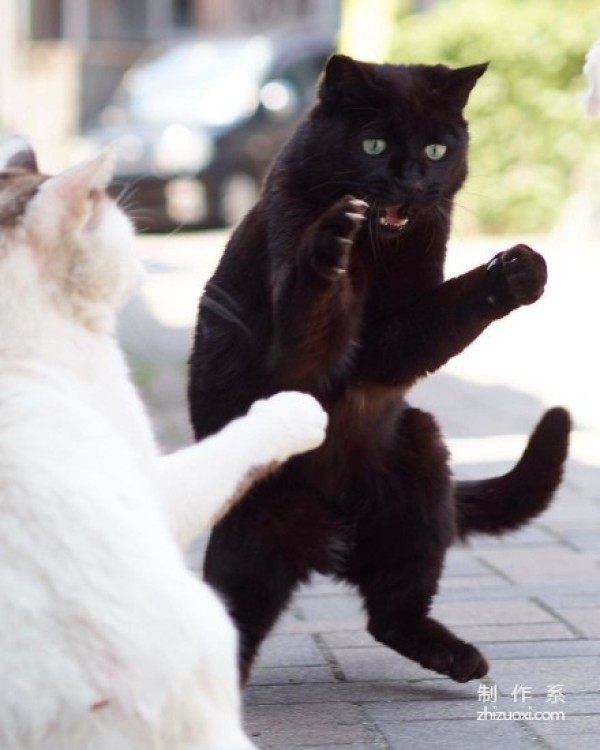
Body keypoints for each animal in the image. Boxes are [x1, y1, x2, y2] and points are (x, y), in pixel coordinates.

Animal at [189, 55, 572, 684]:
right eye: (374, 144)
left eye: (437, 151)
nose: (411, 181)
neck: (377, 252)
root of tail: (332, 536)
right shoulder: (297, 356)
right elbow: (315, 315)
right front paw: (330, 242)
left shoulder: (394, 337)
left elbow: (444, 313)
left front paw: (516, 272)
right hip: (256, 532)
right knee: (230, 623)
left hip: (421, 474)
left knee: (391, 613)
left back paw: (456, 657)